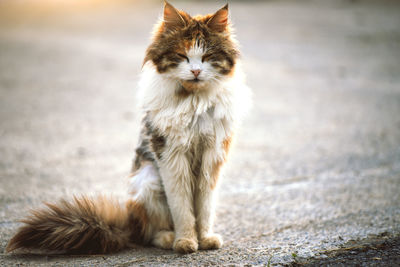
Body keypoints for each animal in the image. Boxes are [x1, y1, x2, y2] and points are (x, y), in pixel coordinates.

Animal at [5, 1, 250, 255]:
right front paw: (185, 242)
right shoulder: (171, 155)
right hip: (148, 181)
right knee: (149, 233)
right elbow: (182, 207)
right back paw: (168, 238)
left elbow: (204, 207)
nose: (195, 72)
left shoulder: (212, 156)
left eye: (207, 56)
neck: (194, 100)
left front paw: (205, 239)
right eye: (182, 56)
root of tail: (127, 225)